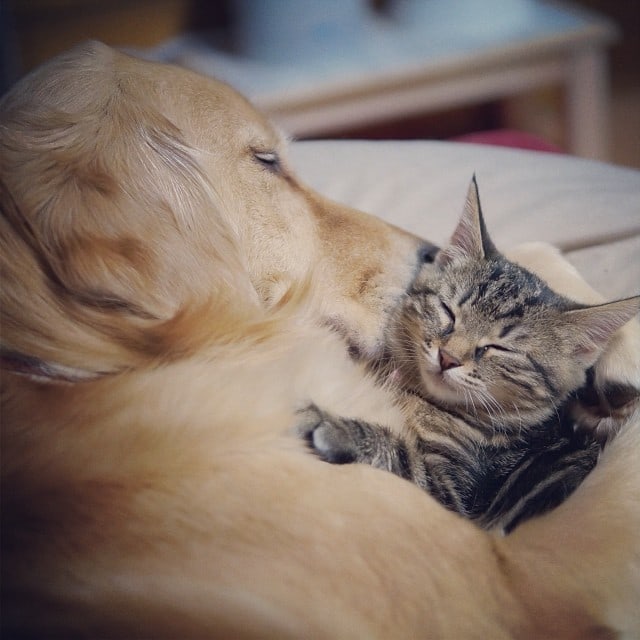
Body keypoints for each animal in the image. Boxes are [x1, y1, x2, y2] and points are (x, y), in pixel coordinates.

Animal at [304, 178, 640, 532]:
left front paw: (333, 426)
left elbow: (406, 460)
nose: (448, 358)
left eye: (498, 348)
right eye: (448, 313)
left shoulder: (453, 494)